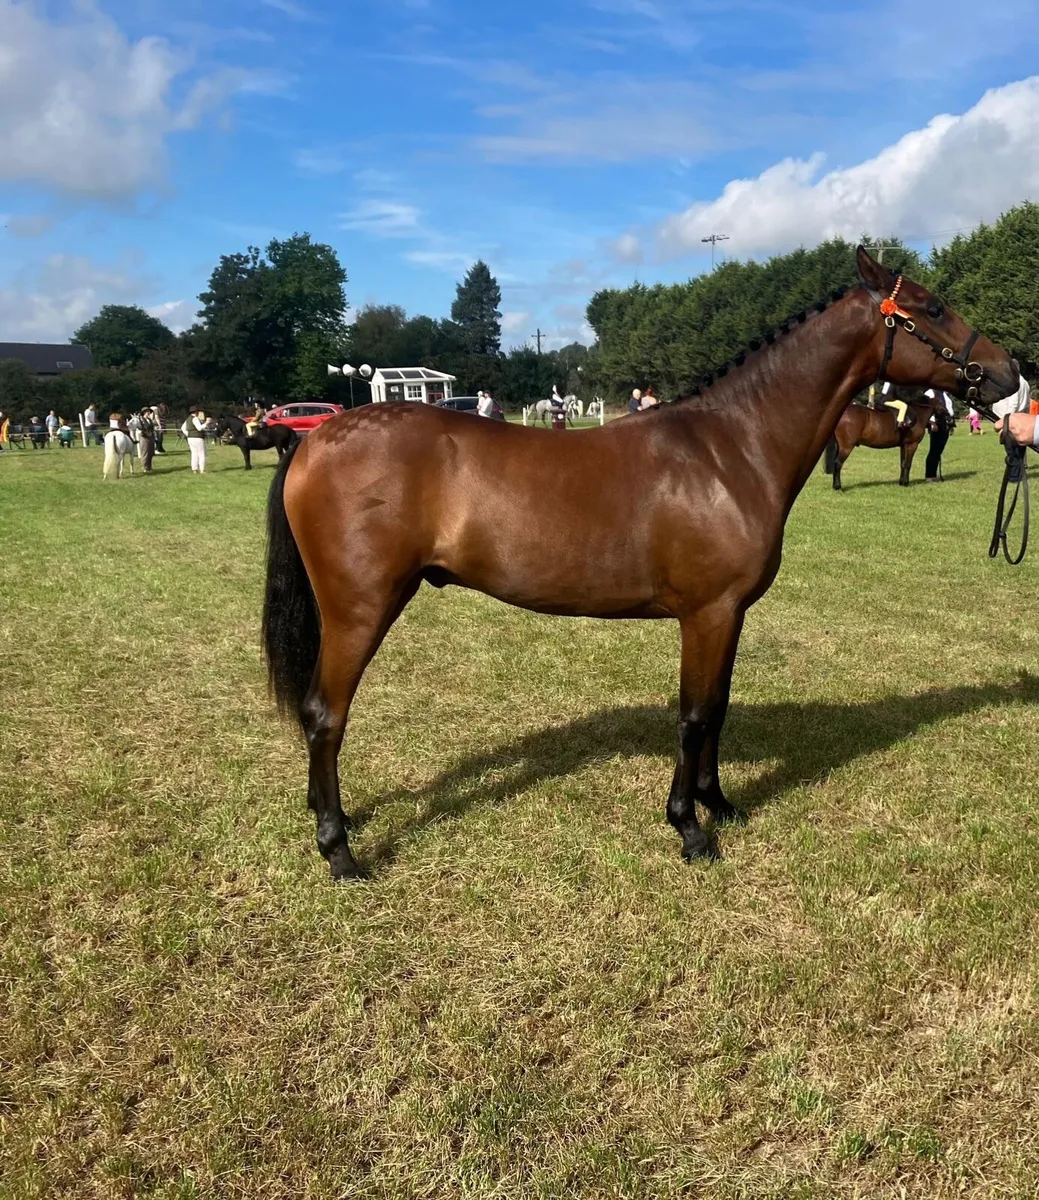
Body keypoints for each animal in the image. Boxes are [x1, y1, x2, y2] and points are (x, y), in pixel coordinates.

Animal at [262, 247, 1017, 880]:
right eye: (931, 308)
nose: (1011, 376)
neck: (733, 447)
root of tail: (313, 439)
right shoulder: (706, 615)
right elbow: (693, 715)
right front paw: (689, 830)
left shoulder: (729, 616)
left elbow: (717, 710)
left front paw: (721, 805)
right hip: (361, 609)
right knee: (325, 714)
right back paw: (340, 852)